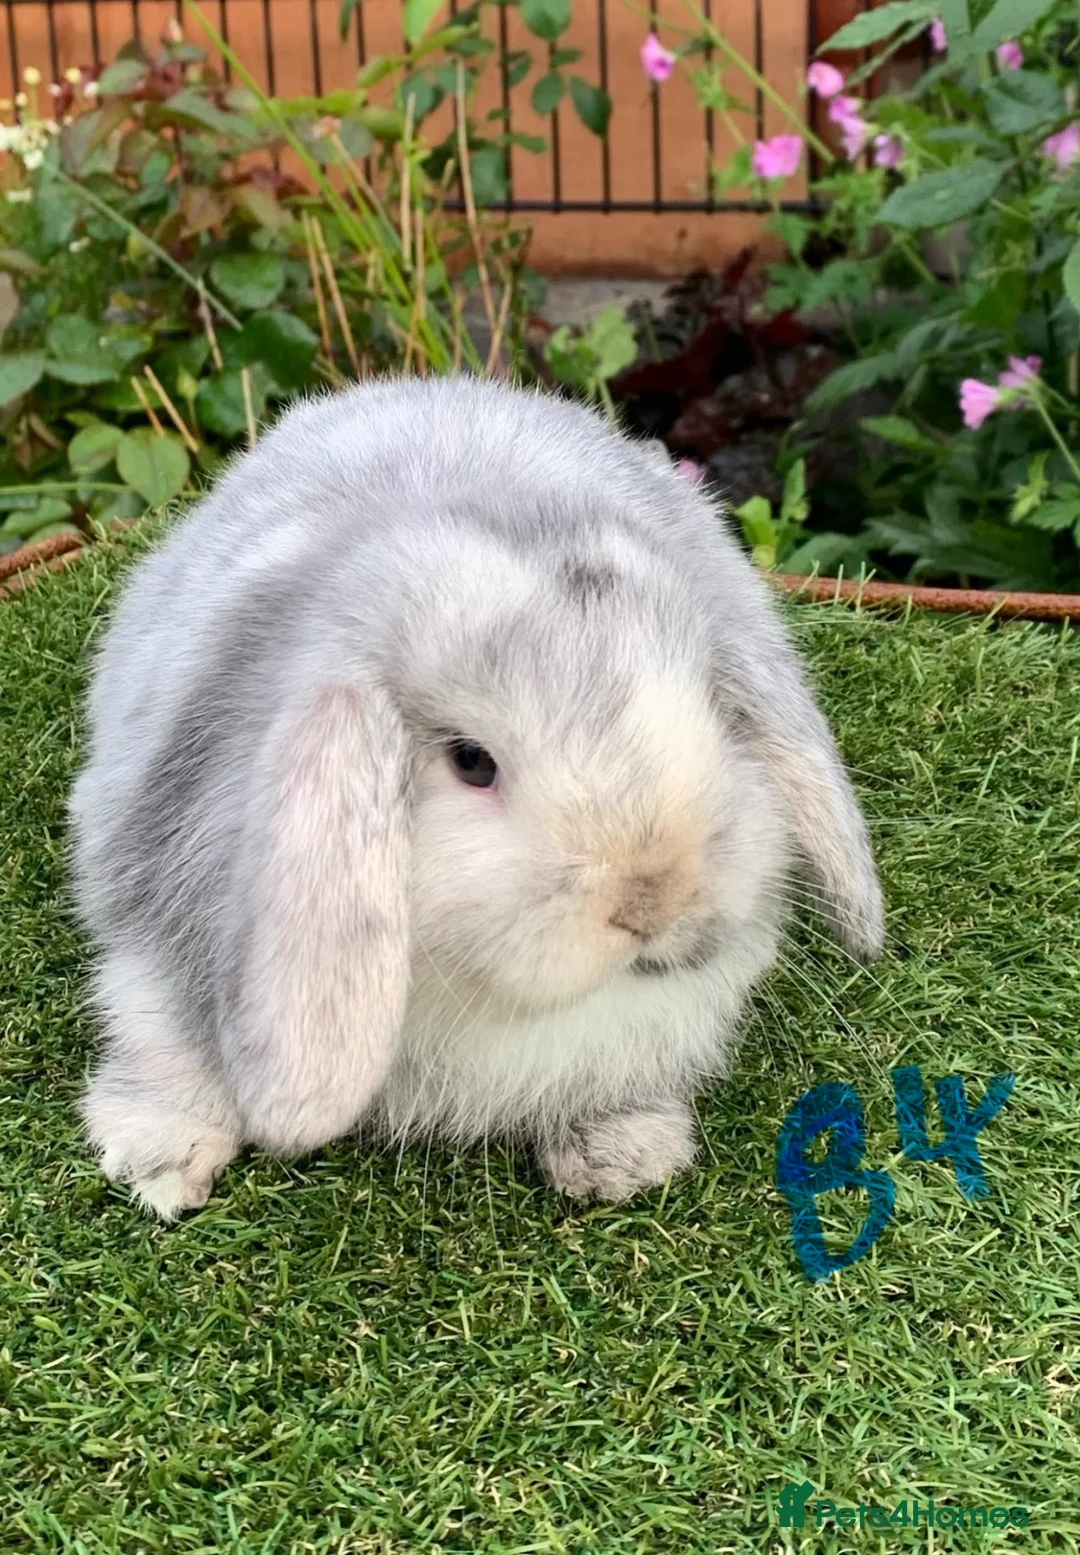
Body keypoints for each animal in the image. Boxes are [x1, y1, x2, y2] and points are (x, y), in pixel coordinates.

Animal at [68, 374, 883, 1221]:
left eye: (717, 715)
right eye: (471, 761)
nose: (653, 901)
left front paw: (622, 1156)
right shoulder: (156, 921)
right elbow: (168, 1044)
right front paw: (159, 1164)